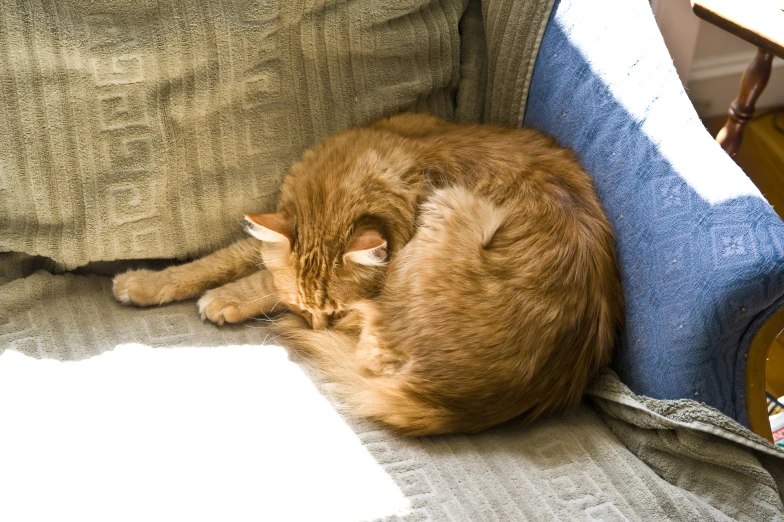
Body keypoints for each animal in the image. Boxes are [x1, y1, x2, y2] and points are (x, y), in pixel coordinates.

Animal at [112, 112, 624, 434]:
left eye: (333, 309)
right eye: (309, 309)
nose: (319, 325)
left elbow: (253, 278)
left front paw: (223, 299)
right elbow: (215, 261)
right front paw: (145, 283)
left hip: (458, 204)